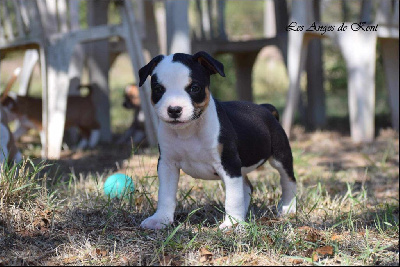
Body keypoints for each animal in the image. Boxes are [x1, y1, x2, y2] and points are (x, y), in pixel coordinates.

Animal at [138, 50, 296, 230]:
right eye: (158, 89)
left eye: (194, 88)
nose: (174, 110)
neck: (189, 131)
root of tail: (265, 108)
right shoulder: (167, 165)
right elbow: (165, 194)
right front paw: (160, 219)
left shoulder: (229, 164)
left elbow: (233, 198)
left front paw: (231, 224)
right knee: (247, 187)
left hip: (280, 156)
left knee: (289, 180)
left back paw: (288, 208)